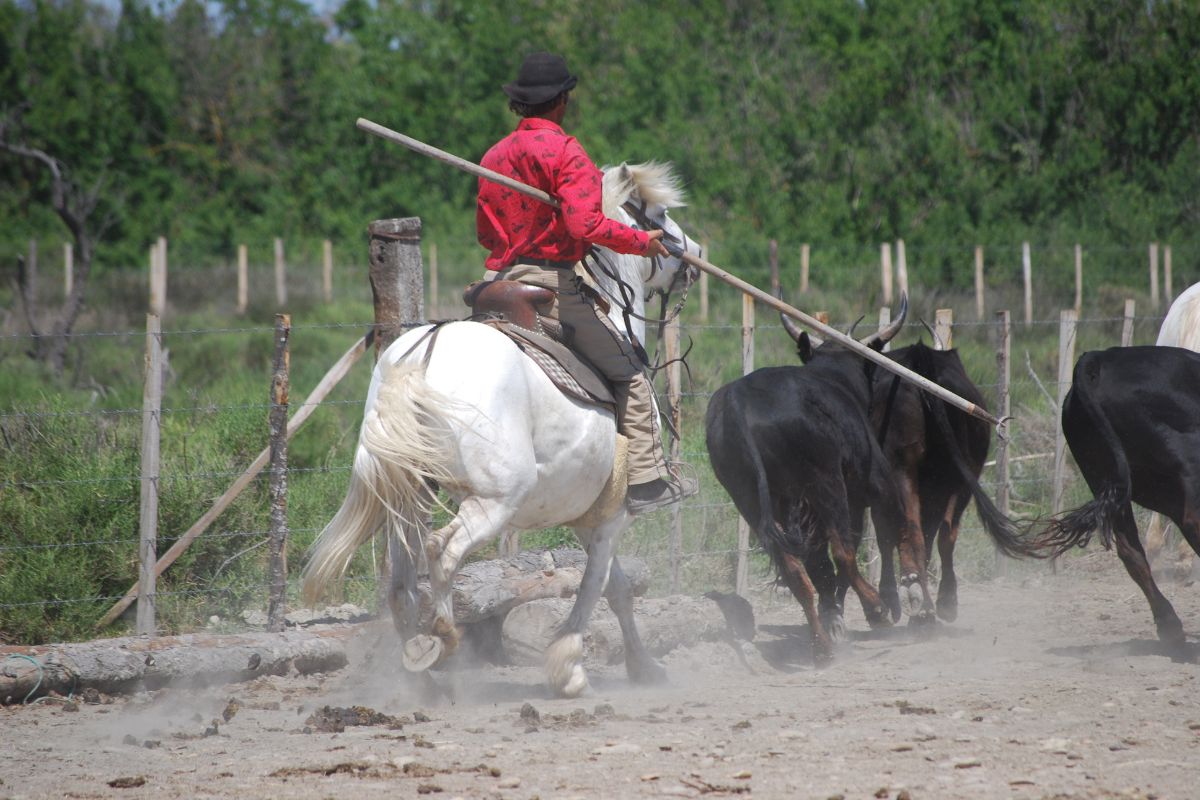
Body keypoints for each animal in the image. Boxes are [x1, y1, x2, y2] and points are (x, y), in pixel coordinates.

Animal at [300, 160, 700, 695]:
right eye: (656, 215)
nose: (694, 253)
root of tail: (422, 355)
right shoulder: (611, 515)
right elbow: (597, 587)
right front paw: (571, 667)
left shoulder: (588, 516)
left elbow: (616, 588)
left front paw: (640, 666)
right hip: (493, 500)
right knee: (443, 552)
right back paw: (443, 639)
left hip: (407, 502)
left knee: (401, 584)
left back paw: (424, 672)